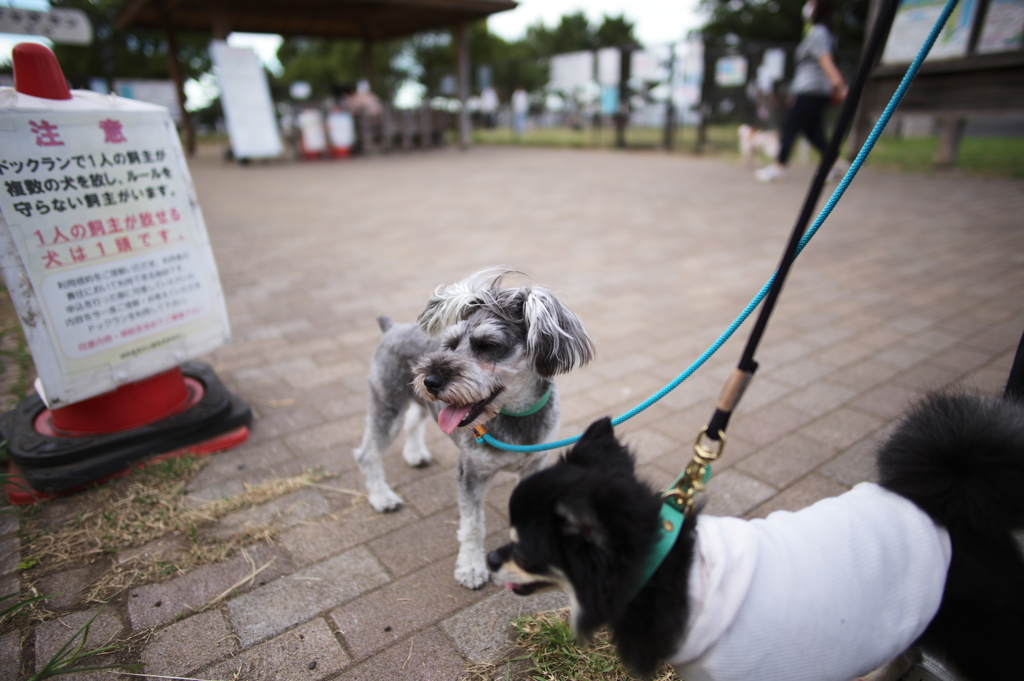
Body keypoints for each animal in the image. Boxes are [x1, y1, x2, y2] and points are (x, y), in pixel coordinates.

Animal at [354, 268, 598, 585]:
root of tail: (392, 328)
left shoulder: (534, 465)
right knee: (368, 453)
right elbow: (472, 526)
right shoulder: (471, 473)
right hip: (387, 405)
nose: (430, 380)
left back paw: (415, 454)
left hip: (418, 402)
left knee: (414, 420)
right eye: (450, 345)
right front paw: (470, 567)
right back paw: (382, 497)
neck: (514, 415)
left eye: (488, 346)